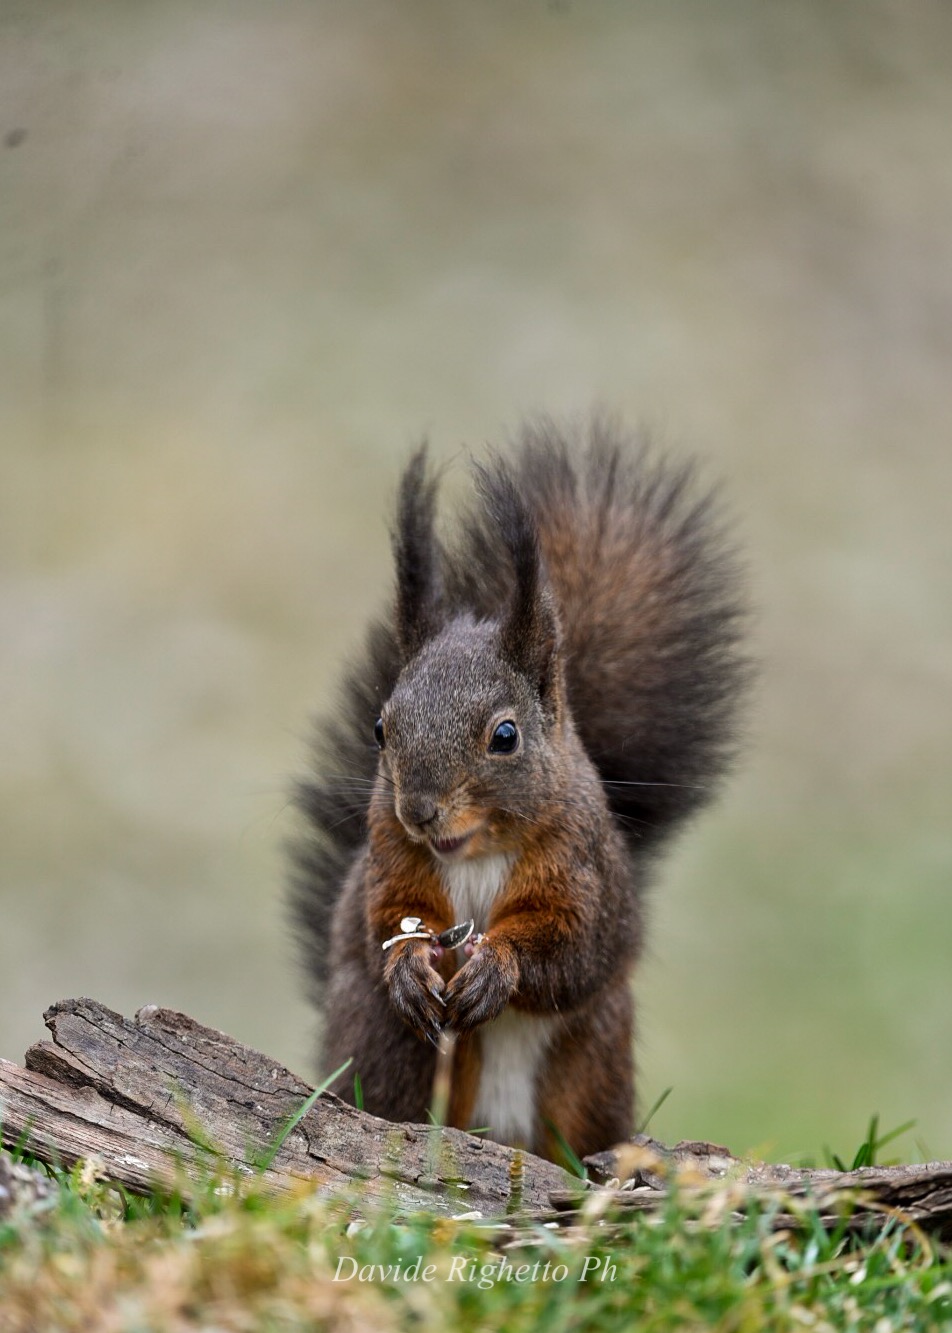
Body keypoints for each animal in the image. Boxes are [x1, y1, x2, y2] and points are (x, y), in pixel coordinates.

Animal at [290, 416, 749, 1163]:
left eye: (505, 736)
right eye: (381, 728)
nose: (419, 811)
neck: (477, 852)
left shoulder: (582, 870)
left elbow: (573, 947)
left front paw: (498, 967)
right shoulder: (389, 856)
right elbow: (384, 918)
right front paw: (409, 965)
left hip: (590, 1061)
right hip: (390, 1049)